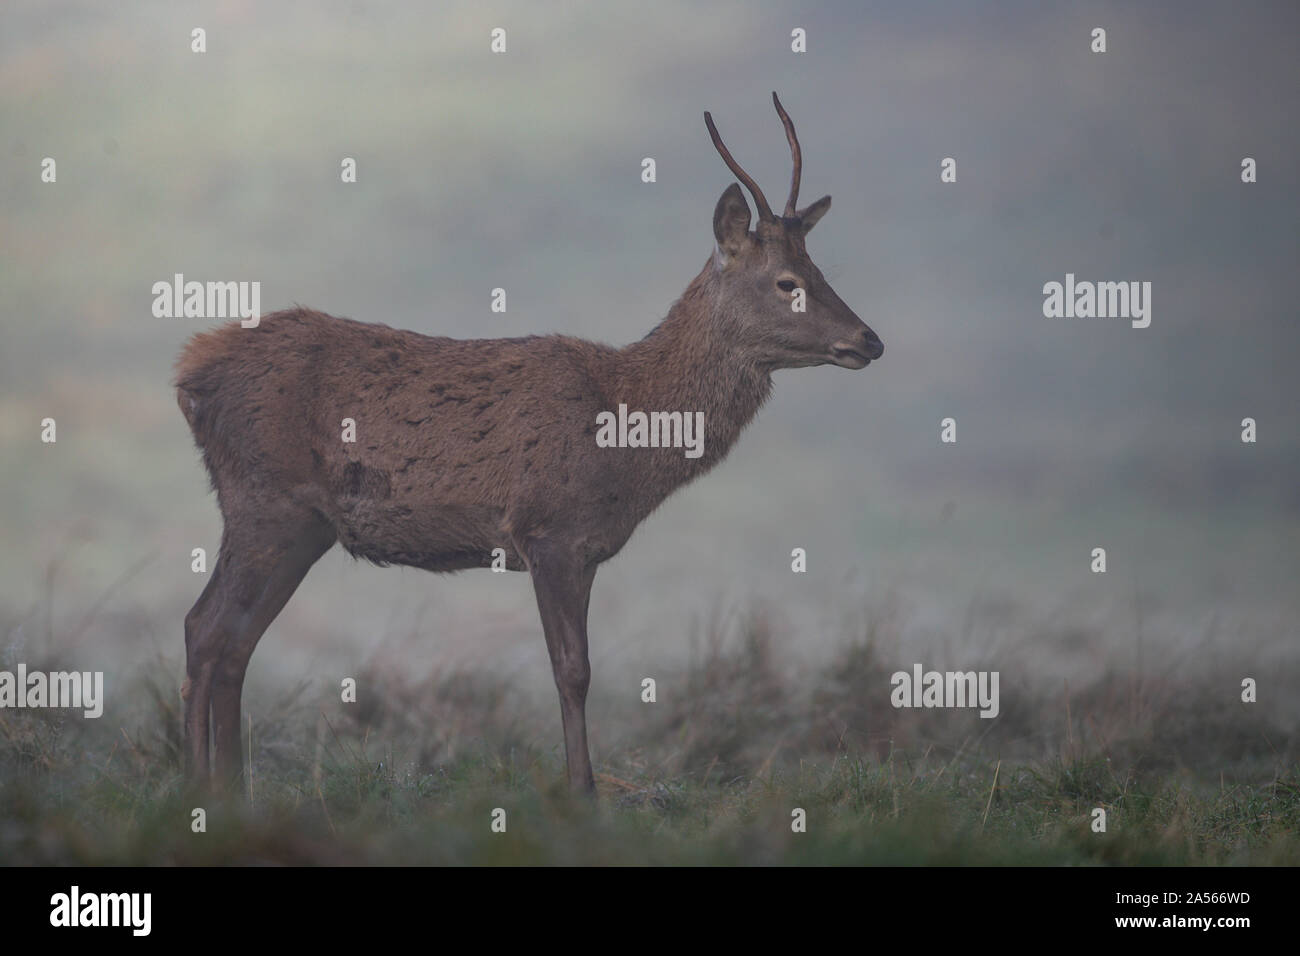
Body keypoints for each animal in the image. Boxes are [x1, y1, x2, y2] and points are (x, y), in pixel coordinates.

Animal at [174, 92, 883, 795]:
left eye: (819, 268)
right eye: (788, 281)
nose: (870, 340)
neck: (627, 435)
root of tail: (190, 372)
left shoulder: (586, 547)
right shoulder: (548, 528)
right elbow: (573, 670)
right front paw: (583, 793)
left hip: (304, 525)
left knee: (235, 640)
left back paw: (232, 790)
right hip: (263, 498)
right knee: (205, 628)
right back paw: (201, 790)